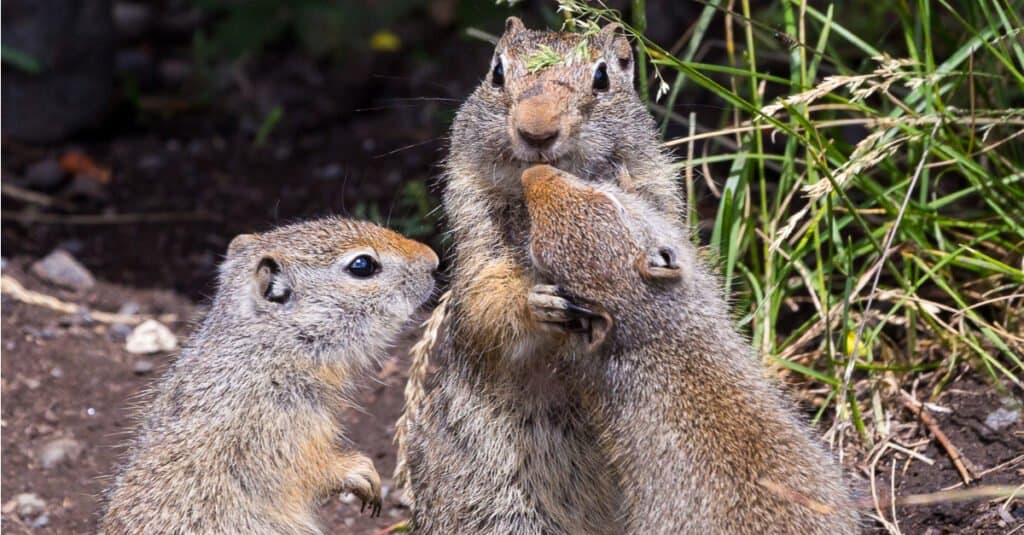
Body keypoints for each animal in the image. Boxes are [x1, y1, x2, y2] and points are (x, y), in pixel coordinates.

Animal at [101, 216, 438, 532]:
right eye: (362, 265)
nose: (433, 259)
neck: (265, 348)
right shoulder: (273, 428)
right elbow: (311, 469)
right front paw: (360, 471)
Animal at [403, 14, 684, 528]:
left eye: (602, 77)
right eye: (496, 72)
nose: (536, 130)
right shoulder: (477, 243)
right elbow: (486, 305)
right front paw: (537, 303)